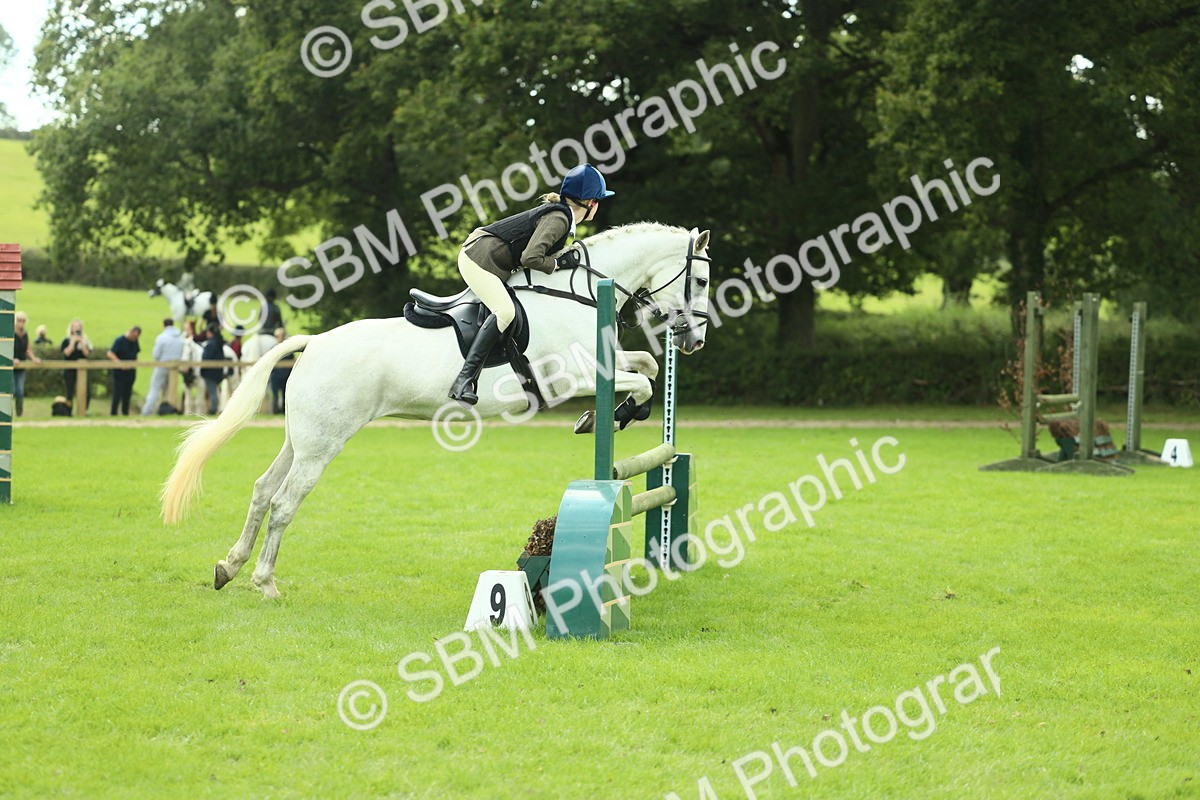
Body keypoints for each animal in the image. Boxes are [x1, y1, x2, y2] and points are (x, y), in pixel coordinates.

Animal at [160, 223, 713, 598]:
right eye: (703, 279)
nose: (695, 341)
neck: (576, 293)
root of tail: (313, 342)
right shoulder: (574, 378)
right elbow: (642, 378)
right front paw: (604, 415)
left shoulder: (605, 364)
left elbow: (646, 366)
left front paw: (611, 416)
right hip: (322, 444)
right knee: (283, 503)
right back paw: (265, 582)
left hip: (301, 438)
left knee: (261, 491)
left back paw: (229, 567)